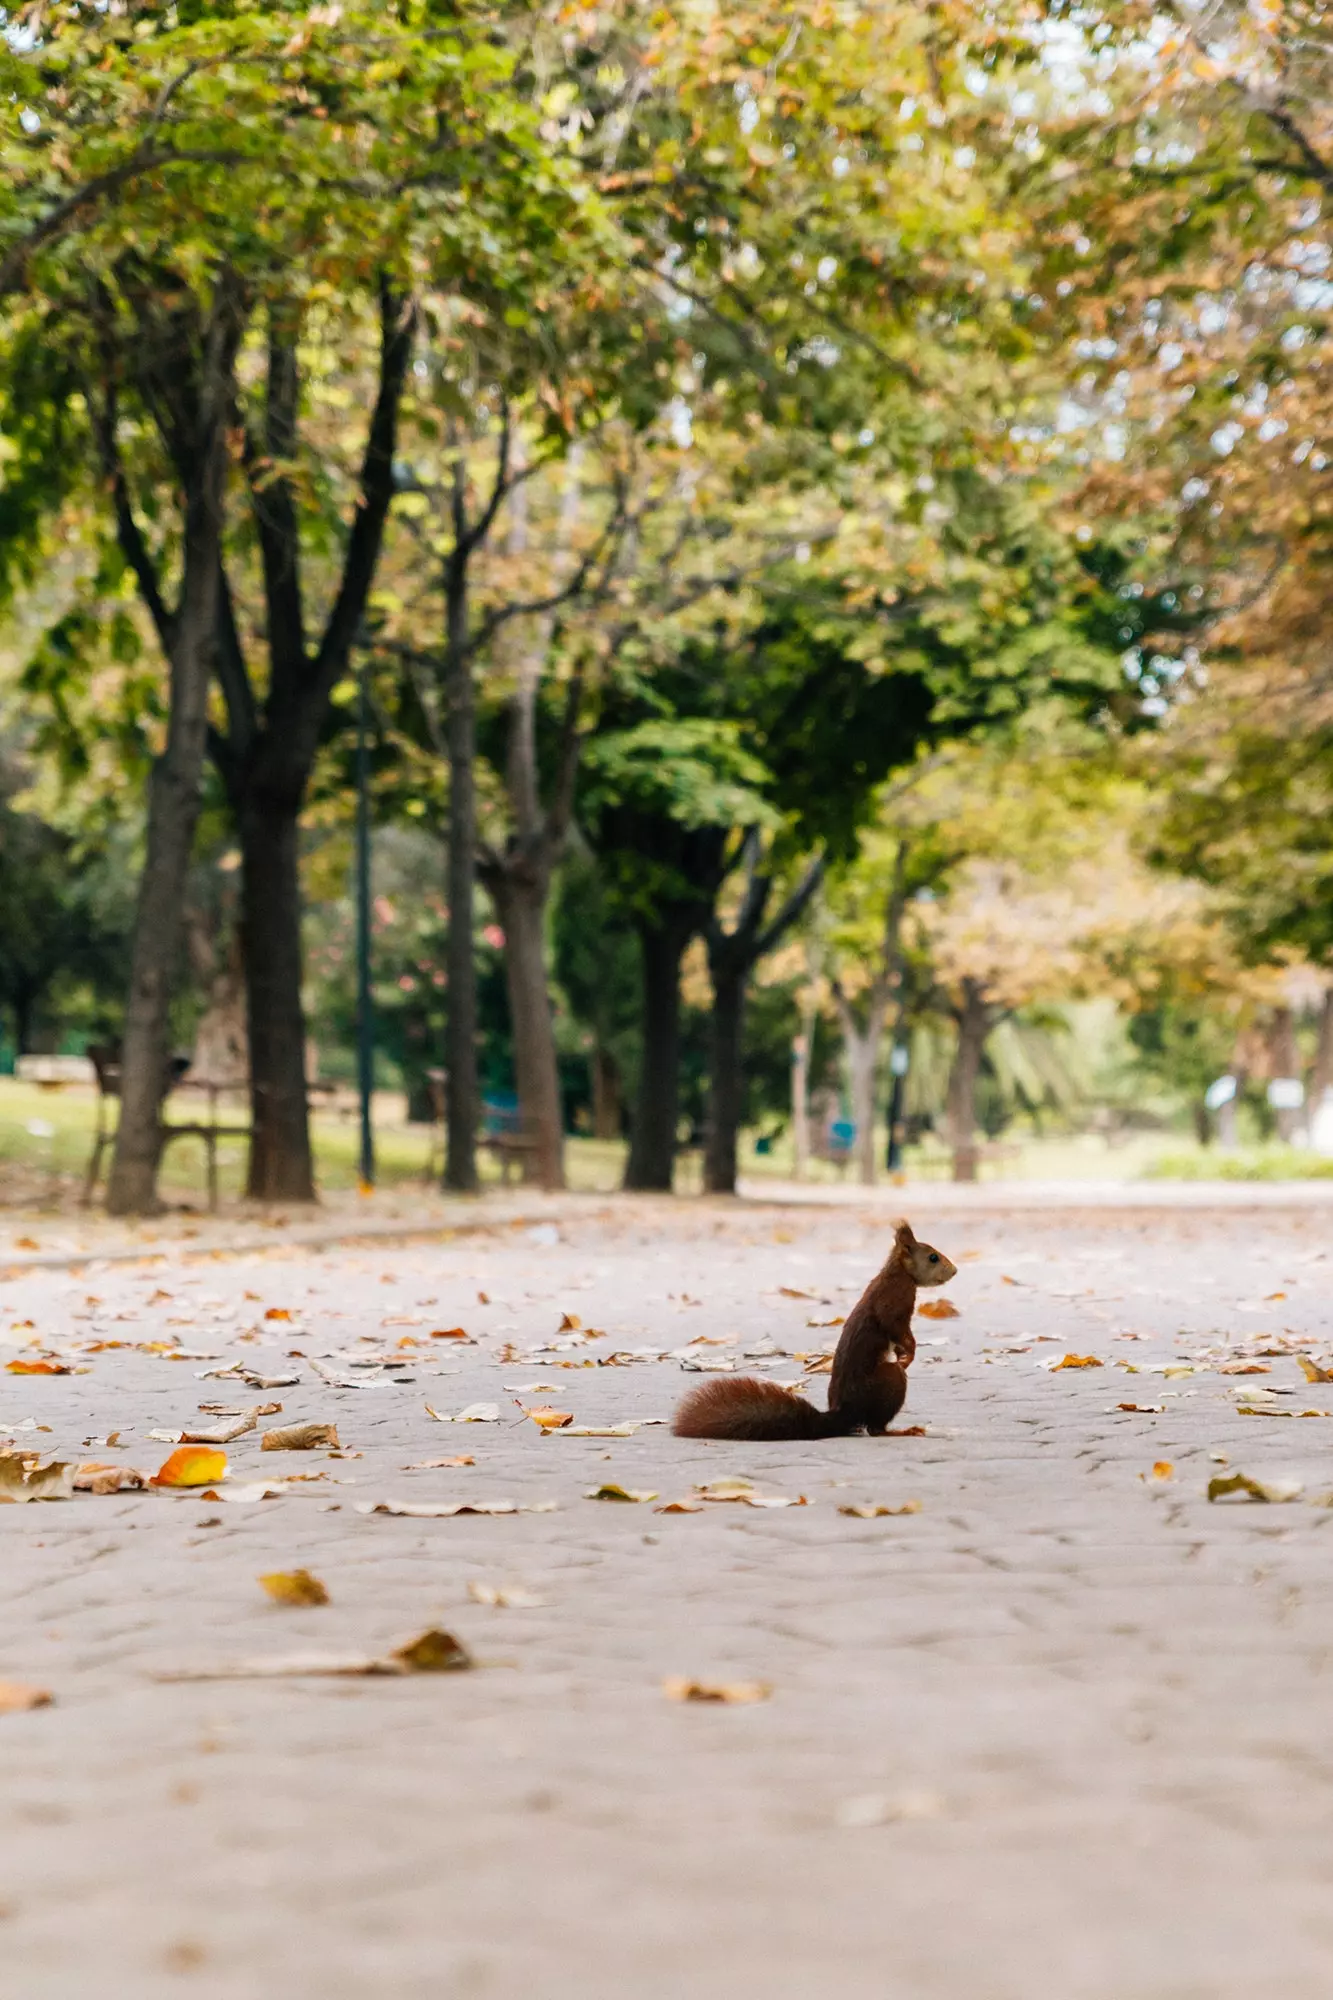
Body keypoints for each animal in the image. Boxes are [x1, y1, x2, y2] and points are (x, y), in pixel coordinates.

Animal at [668, 1216, 948, 1440]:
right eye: (933, 1257)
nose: (954, 1270)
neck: (897, 1272)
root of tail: (842, 1414)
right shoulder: (896, 1299)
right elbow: (895, 1326)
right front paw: (909, 1354)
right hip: (889, 1381)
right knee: (876, 1427)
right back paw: (902, 1431)